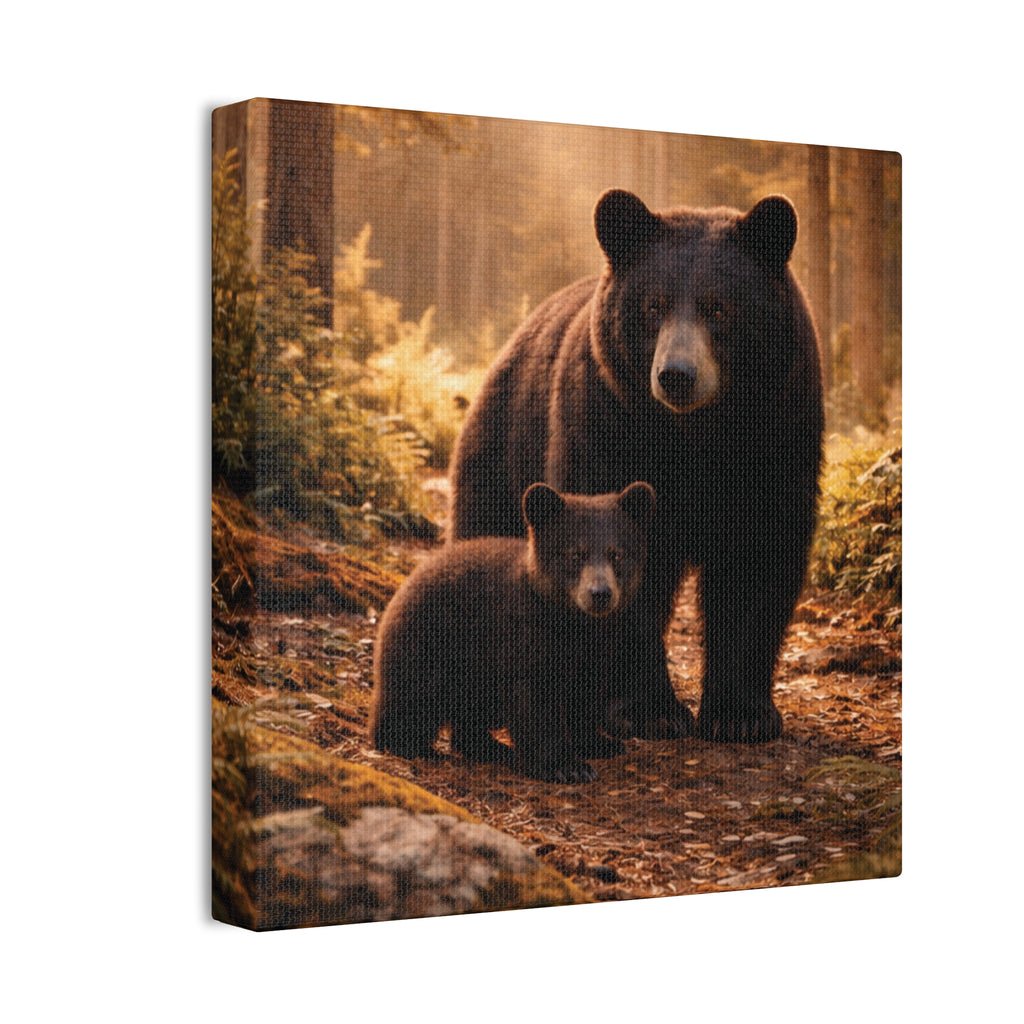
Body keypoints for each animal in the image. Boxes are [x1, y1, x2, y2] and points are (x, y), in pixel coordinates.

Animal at [370, 481, 655, 783]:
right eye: (575, 553)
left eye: (617, 554)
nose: (600, 593)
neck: (571, 623)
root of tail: (406, 582)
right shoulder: (523, 639)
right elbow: (536, 701)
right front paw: (566, 765)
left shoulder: (596, 647)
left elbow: (584, 694)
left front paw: (599, 742)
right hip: (432, 647)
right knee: (411, 699)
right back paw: (409, 744)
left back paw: (490, 747)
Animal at [448, 189, 824, 743]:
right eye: (654, 305)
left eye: (718, 307)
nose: (676, 375)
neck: (695, 437)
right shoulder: (608, 425)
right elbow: (616, 553)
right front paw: (650, 710)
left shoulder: (776, 436)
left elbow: (757, 560)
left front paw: (741, 714)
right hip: (504, 452)